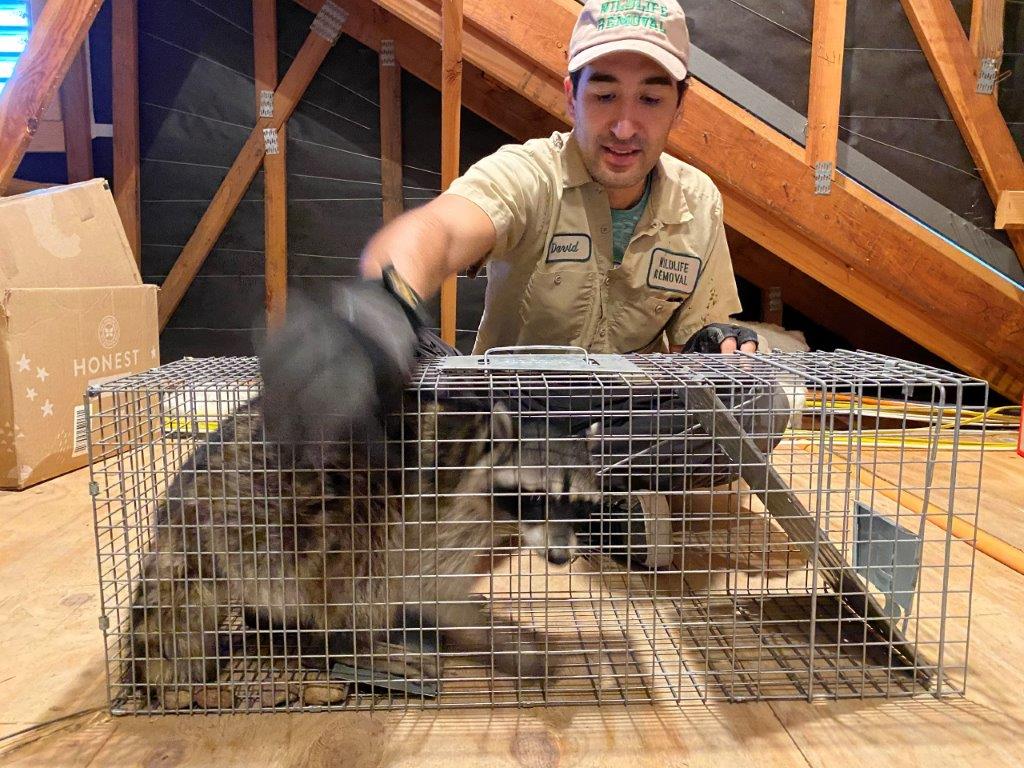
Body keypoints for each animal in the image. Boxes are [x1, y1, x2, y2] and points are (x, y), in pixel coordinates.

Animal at [127, 395, 600, 706]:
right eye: (537, 499)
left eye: (580, 505)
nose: (561, 558)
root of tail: (181, 511)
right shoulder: (438, 515)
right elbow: (430, 592)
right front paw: (497, 642)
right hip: (269, 518)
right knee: (356, 563)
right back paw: (351, 643)